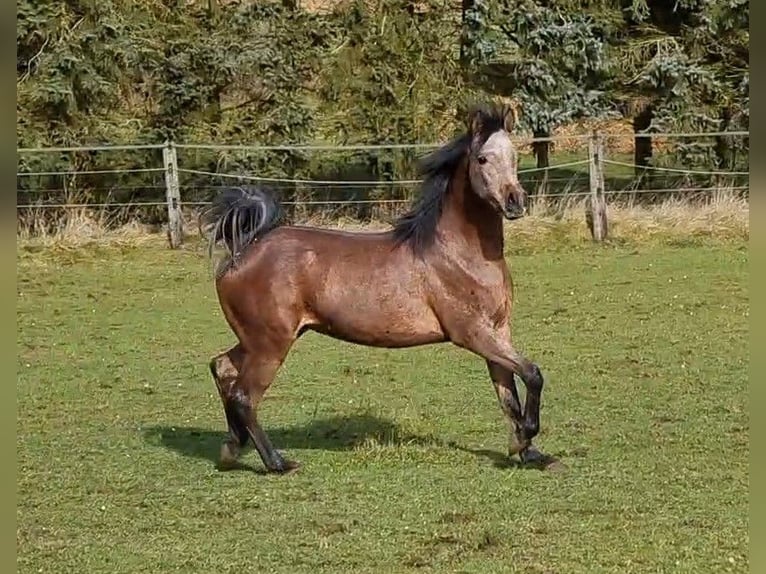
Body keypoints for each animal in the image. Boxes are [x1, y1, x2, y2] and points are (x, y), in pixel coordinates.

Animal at [200, 103, 560, 476]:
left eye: (515, 155)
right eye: (483, 159)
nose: (515, 202)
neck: (459, 253)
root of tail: (245, 249)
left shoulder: (499, 331)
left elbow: (509, 396)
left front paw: (530, 453)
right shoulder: (471, 333)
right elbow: (533, 374)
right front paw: (524, 438)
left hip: (259, 340)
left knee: (222, 368)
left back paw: (232, 447)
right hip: (270, 344)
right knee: (244, 395)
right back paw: (277, 462)